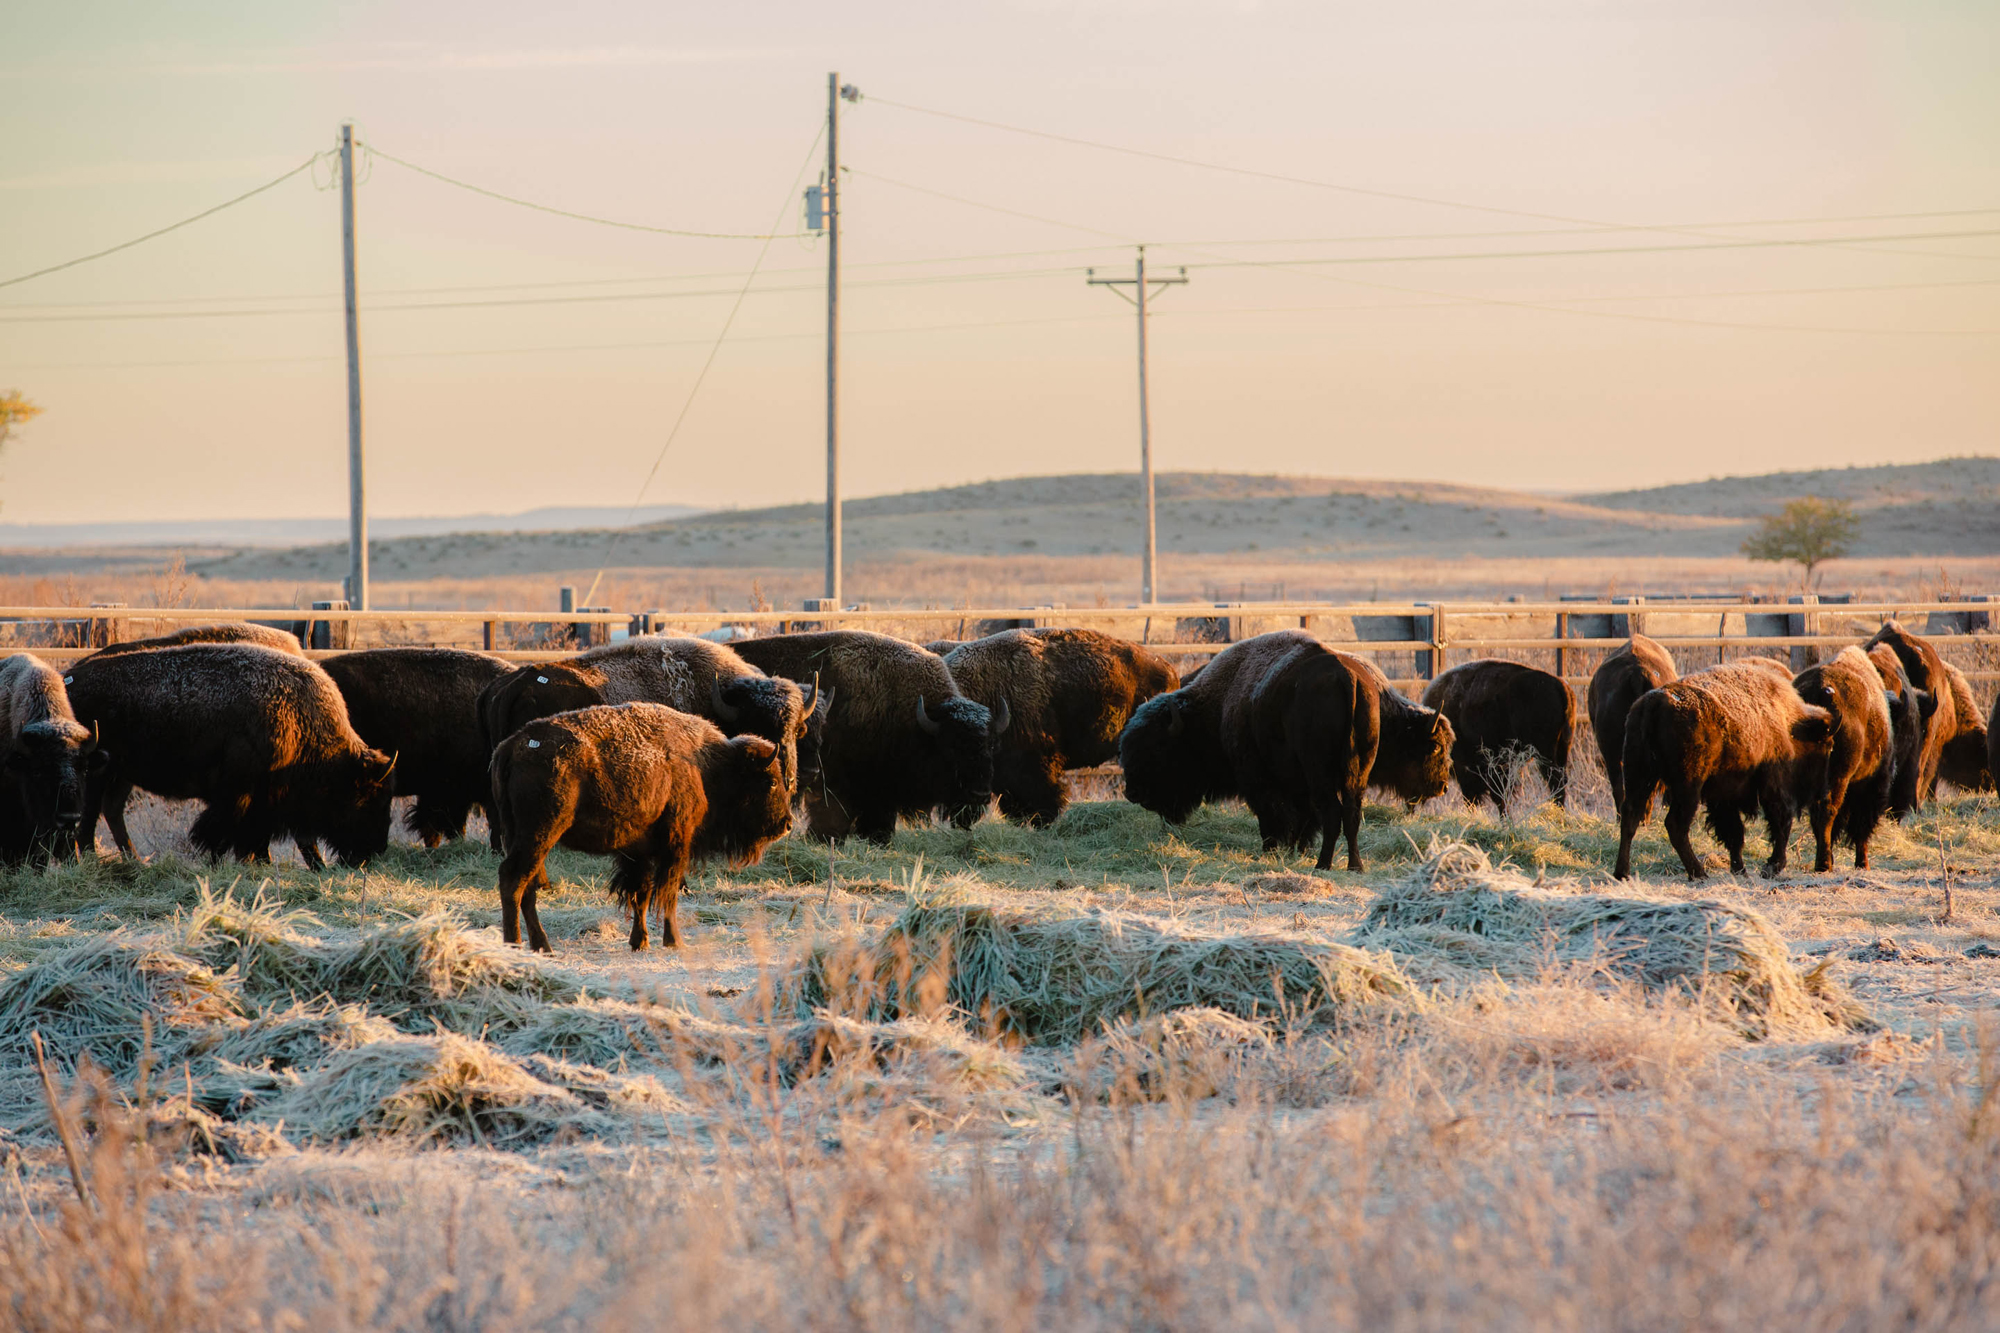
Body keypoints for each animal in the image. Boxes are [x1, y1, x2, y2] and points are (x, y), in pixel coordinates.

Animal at [65, 645, 396, 868]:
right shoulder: (239, 795)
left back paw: (134, 860)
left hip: (122, 775)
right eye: (366, 797)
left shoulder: (266, 803)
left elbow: (259, 837)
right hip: (99, 771)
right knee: (91, 813)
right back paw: (92, 858)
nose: (375, 849)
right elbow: (223, 832)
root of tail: (70, 678)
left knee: (111, 810)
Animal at [488, 703, 792, 951]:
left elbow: (640, 895)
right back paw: (516, 944)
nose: (787, 824)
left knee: (526, 886)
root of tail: (510, 746)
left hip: (520, 837)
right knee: (513, 878)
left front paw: (640, 941)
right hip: (541, 834)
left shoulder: (638, 852)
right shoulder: (677, 843)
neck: (707, 763)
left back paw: (541, 946)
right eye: (771, 782)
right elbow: (668, 894)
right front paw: (674, 941)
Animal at [1421, 658, 1575, 814]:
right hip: (1561, 751)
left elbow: (1487, 798)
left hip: (1544, 754)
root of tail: (1560, 686)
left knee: (1555, 782)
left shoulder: (1471, 769)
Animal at [1614, 662, 1834, 880]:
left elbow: (1734, 833)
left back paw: (1622, 873)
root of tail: (1654, 702)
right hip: (1687, 786)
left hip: (1640, 776)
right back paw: (1699, 873)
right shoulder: (1773, 785)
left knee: (1630, 817)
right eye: (1826, 745)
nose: (1822, 793)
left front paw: (1740, 870)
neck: (1790, 723)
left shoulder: (1723, 797)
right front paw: (1772, 866)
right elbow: (1780, 822)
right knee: (1675, 825)